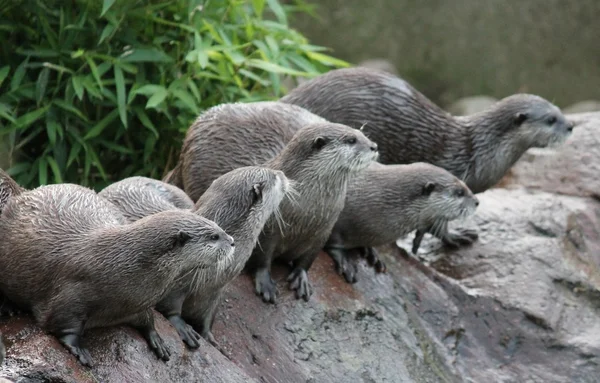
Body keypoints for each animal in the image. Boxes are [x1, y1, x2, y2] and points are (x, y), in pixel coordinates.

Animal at [0, 180, 234, 366]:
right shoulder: (72, 293)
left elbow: (147, 317)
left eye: (218, 226)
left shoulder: (137, 303)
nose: (232, 241)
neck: (120, 265)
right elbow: (61, 322)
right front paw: (79, 350)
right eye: (214, 236)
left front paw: (156, 337)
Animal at [101, 167, 288, 348]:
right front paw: (182, 327)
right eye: (275, 176)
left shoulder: (216, 291)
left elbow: (208, 317)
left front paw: (209, 337)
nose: (283, 174)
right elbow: (170, 307)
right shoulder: (174, 284)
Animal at [164, 101, 380, 304]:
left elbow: (308, 259)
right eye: (351, 140)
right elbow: (262, 257)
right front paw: (266, 284)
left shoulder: (324, 229)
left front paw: (301, 278)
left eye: (362, 133)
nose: (374, 146)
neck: (307, 211)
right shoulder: (269, 228)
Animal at [282, 68, 576, 254]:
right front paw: (455, 236)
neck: (477, 152)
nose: (571, 125)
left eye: (559, 110)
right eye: (551, 119)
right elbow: (438, 220)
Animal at [324, 160, 478, 284]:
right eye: (459, 192)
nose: (477, 201)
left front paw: (372, 252)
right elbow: (333, 241)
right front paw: (345, 263)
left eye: (464, 184)